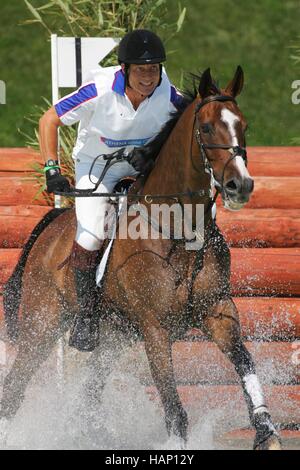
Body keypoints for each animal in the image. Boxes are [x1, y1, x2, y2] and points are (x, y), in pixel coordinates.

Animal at [0, 67, 282, 452]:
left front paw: (266, 431)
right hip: (42, 326)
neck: (179, 231)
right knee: (14, 389)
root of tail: (52, 226)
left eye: (244, 125)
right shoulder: (154, 328)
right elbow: (174, 408)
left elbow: (244, 363)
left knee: (89, 395)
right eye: (208, 127)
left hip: (115, 338)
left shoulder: (219, 311)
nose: (241, 186)